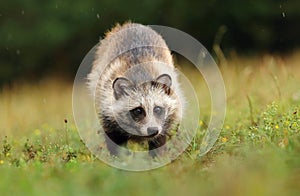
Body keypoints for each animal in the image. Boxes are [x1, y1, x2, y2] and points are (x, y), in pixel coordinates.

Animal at [88, 22, 184, 156]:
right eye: (138, 110)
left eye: (157, 109)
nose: (153, 130)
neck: (141, 77)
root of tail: (130, 24)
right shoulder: (105, 103)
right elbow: (113, 137)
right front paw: (117, 159)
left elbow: (160, 138)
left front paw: (157, 157)